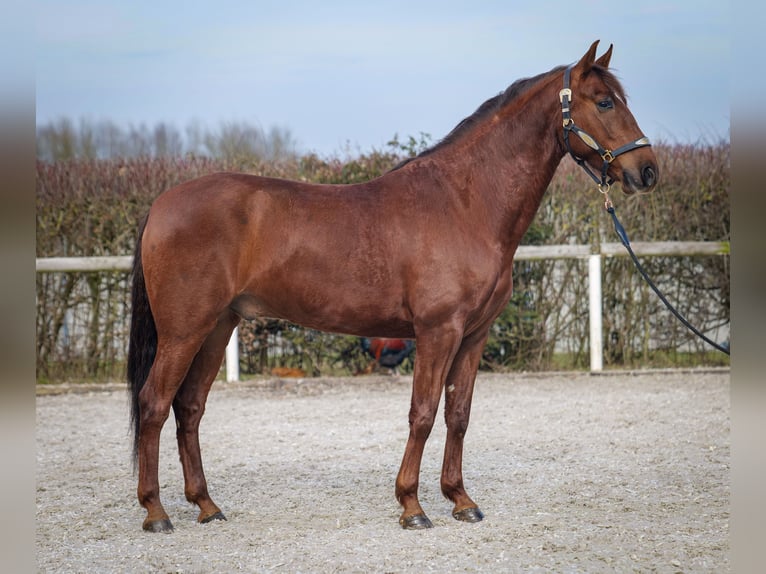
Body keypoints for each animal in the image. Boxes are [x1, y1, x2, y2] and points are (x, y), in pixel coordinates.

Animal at [127, 40, 660, 536]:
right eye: (603, 102)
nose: (648, 171)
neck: (465, 203)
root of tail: (162, 205)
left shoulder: (474, 335)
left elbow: (458, 414)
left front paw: (461, 500)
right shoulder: (437, 331)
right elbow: (422, 413)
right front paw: (412, 506)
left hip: (218, 327)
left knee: (189, 408)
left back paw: (206, 505)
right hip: (184, 331)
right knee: (154, 404)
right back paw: (156, 512)